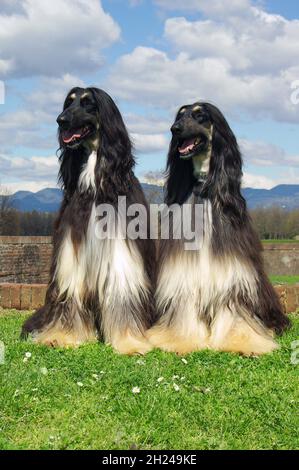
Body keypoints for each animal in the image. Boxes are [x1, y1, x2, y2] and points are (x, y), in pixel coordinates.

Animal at [22, 86, 156, 354]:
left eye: (87, 103)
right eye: (68, 103)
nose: (60, 120)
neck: (96, 182)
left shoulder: (120, 250)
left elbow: (122, 293)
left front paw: (129, 341)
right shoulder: (70, 249)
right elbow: (70, 291)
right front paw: (61, 336)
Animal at [149, 102, 292, 352]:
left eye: (200, 115)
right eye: (180, 115)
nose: (174, 129)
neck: (205, 188)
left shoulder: (232, 274)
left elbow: (234, 314)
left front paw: (241, 341)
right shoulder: (185, 273)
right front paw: (181, 339)